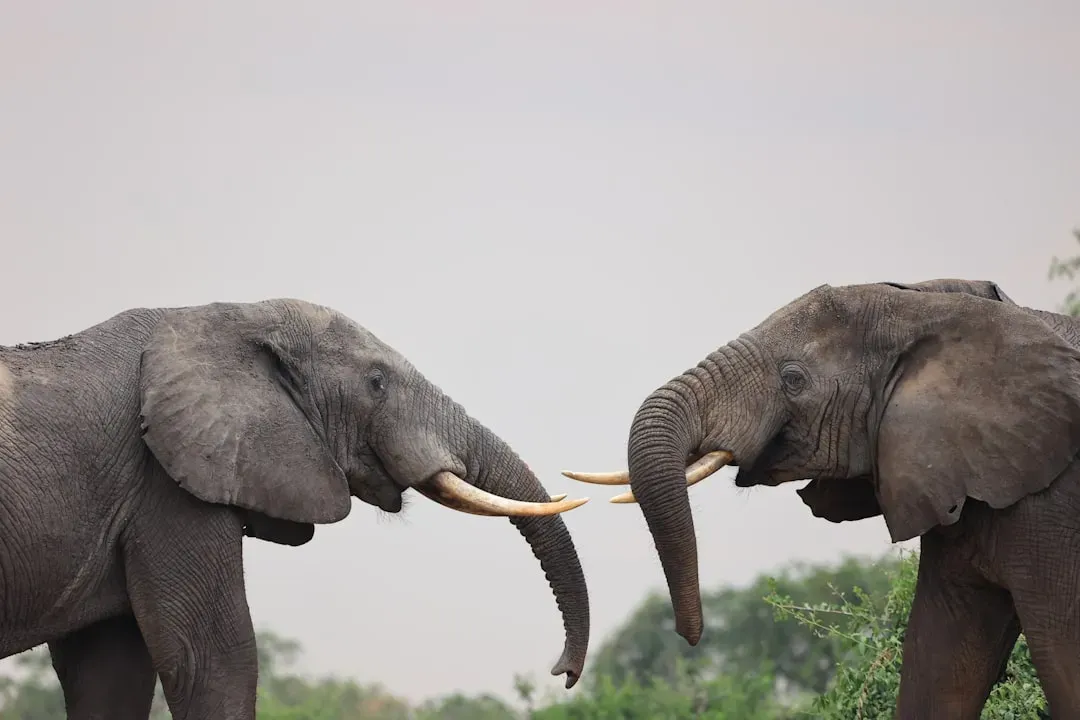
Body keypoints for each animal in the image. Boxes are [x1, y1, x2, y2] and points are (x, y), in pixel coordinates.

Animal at [0, 298, 591, 719]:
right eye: (377, 383)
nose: (562, 674)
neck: (220, 317)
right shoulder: (168, 483)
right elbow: (214, 659)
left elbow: (108, 673)